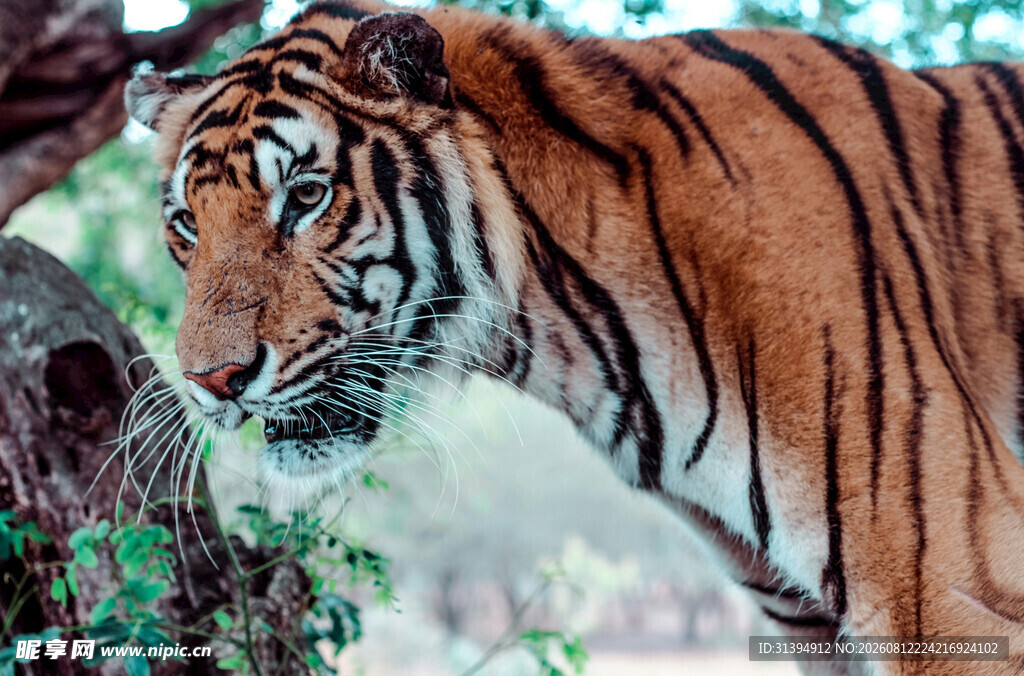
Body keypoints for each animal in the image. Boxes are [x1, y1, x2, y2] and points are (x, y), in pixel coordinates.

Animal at [124, 0, 1024, 672]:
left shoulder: (952, 588)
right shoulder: (799, 617)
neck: (571, 331)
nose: (210, 381)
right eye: (185, 225)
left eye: (306, 197)